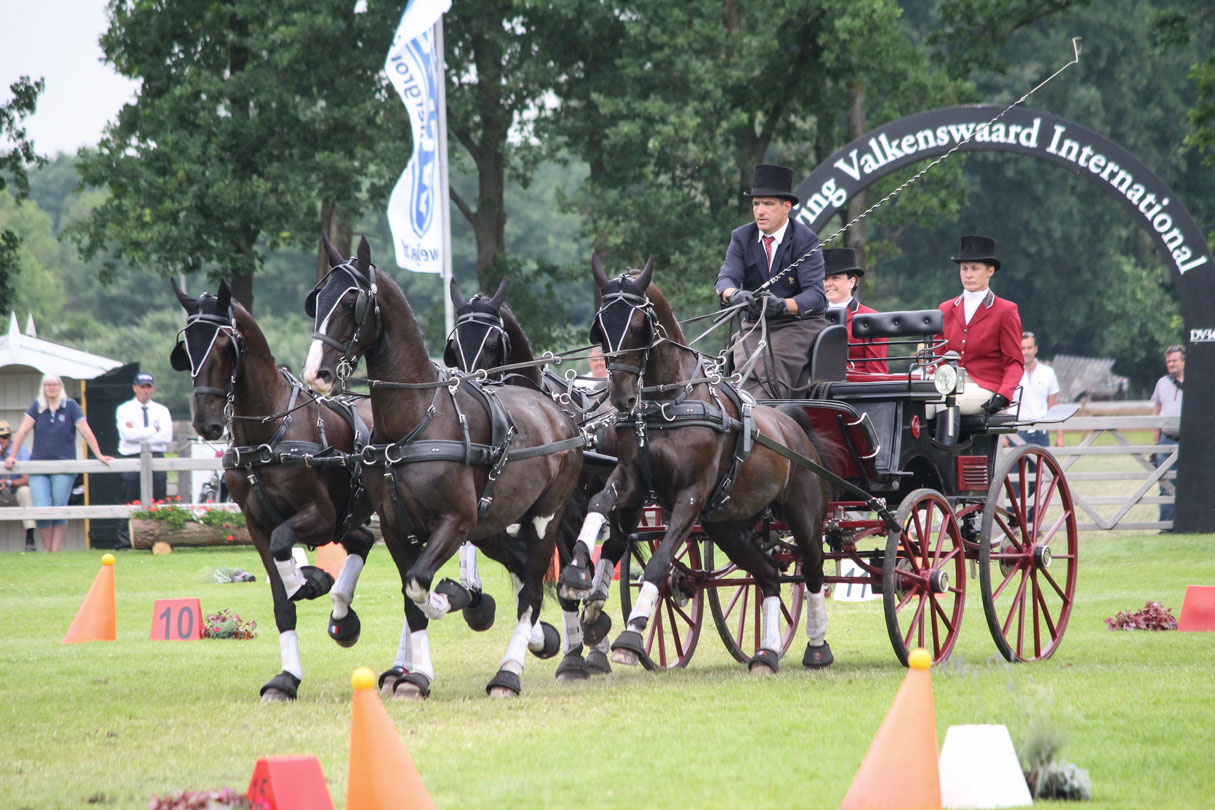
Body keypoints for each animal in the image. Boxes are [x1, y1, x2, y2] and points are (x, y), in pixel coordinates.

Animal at [168, 281, 371, 699]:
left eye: (226, 348)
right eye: (187, 349)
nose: (207, 424)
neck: (269, 431)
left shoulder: (320, 517)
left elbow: (285, 547)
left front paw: (311, 581)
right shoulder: (257, 525)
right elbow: (282, 603)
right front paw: (286, 679)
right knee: (364, 540)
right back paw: (344, 620)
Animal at [306, 238, 585, 699]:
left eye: (351, 302)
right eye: (316, 300)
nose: (316, 372)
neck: (416, 422)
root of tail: (560, 414)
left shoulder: (455, 522)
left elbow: (421, 584)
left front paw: (446, 603)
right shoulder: (396, 527)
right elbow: (410, 596)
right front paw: (415, 676)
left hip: (545, 516)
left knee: (531, 588)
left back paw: (509, 672)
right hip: (493, 526)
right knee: (521, 569)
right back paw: (538, 640)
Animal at [566, 256, 835, 675]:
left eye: (639, 326)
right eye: (601, 327)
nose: (621, 397)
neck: (668, 403)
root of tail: (792, 424)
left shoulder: (690, 496)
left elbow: (659, 563)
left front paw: (632, 635)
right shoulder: (632, 480)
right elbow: (599, 507)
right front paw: (580, 578)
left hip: (803, 515)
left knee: (812, 570)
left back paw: (817, 648)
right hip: (729, 528)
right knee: (770, 576)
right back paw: (767, 653)